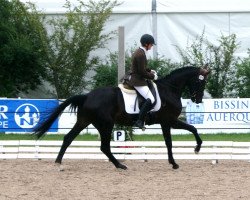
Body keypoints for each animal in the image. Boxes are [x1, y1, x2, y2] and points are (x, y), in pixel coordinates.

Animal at [33, 66, 209, 170]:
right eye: (201, 82)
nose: (198, 100)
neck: (169, 90)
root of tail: (87, 96)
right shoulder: (169, 121)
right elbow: (180, 136)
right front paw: (187, 155)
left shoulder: (168, 122)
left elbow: (181, 135)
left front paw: (185, 156)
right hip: (106, 124)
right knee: (104, 147)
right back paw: (120, 165)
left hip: (85, 121)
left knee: (68, 138)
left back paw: (58, 162)